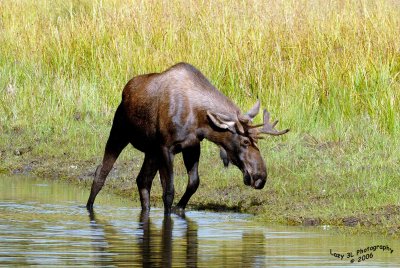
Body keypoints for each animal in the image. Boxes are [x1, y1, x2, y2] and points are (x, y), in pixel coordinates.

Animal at [86, 62, 290, 214]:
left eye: (257, 142)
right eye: (245, 142)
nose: (260, 177)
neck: (200, 119)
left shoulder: (192, 146)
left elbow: (193, 183)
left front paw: (179, 209)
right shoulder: (166, 148)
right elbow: (169, 191)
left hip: (151, 152)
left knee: (142, 180)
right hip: (119, 133)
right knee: (101, 172)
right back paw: (88, 207)